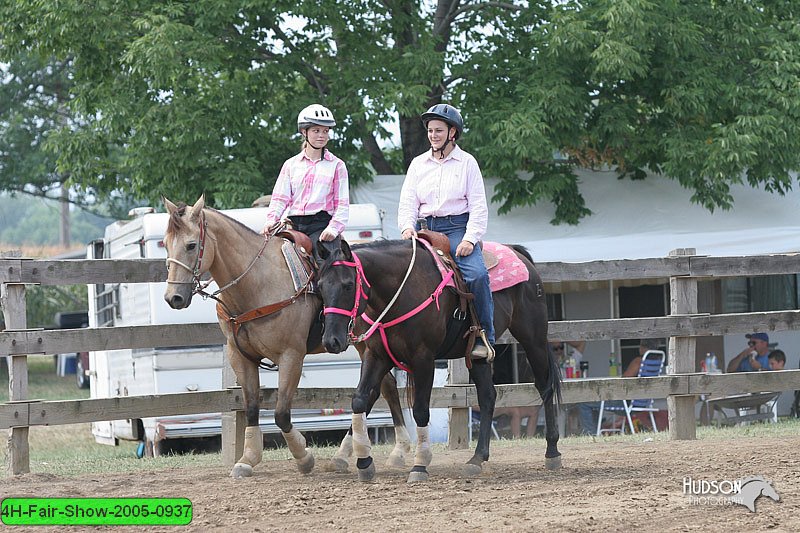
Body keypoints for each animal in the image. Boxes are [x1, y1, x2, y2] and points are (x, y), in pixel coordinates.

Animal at [162, 196, 412, 478]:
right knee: (385, 386)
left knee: (381, 388)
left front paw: (304, 457)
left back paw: (388, 451)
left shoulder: (291, 356)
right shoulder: (239, 356)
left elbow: (281, 413)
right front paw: (247, 459)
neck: (257, 284)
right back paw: (356, 455)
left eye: (191, 245)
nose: (173, 298)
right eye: (166, 244)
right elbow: (251, 407)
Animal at [318, 237, 564, 482]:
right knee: (487, 397)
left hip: (533, 338)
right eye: (320, 286)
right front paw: (364, 462)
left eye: (348, 285)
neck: (400, 292)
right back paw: (477, 458)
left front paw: (420, 465)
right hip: (476, 358)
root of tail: (519, 254)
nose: (331, 340)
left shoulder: (424, 358)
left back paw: (552, 452)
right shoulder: (376, 355)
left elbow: (420, 410)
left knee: (545, 386)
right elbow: (360, 399)